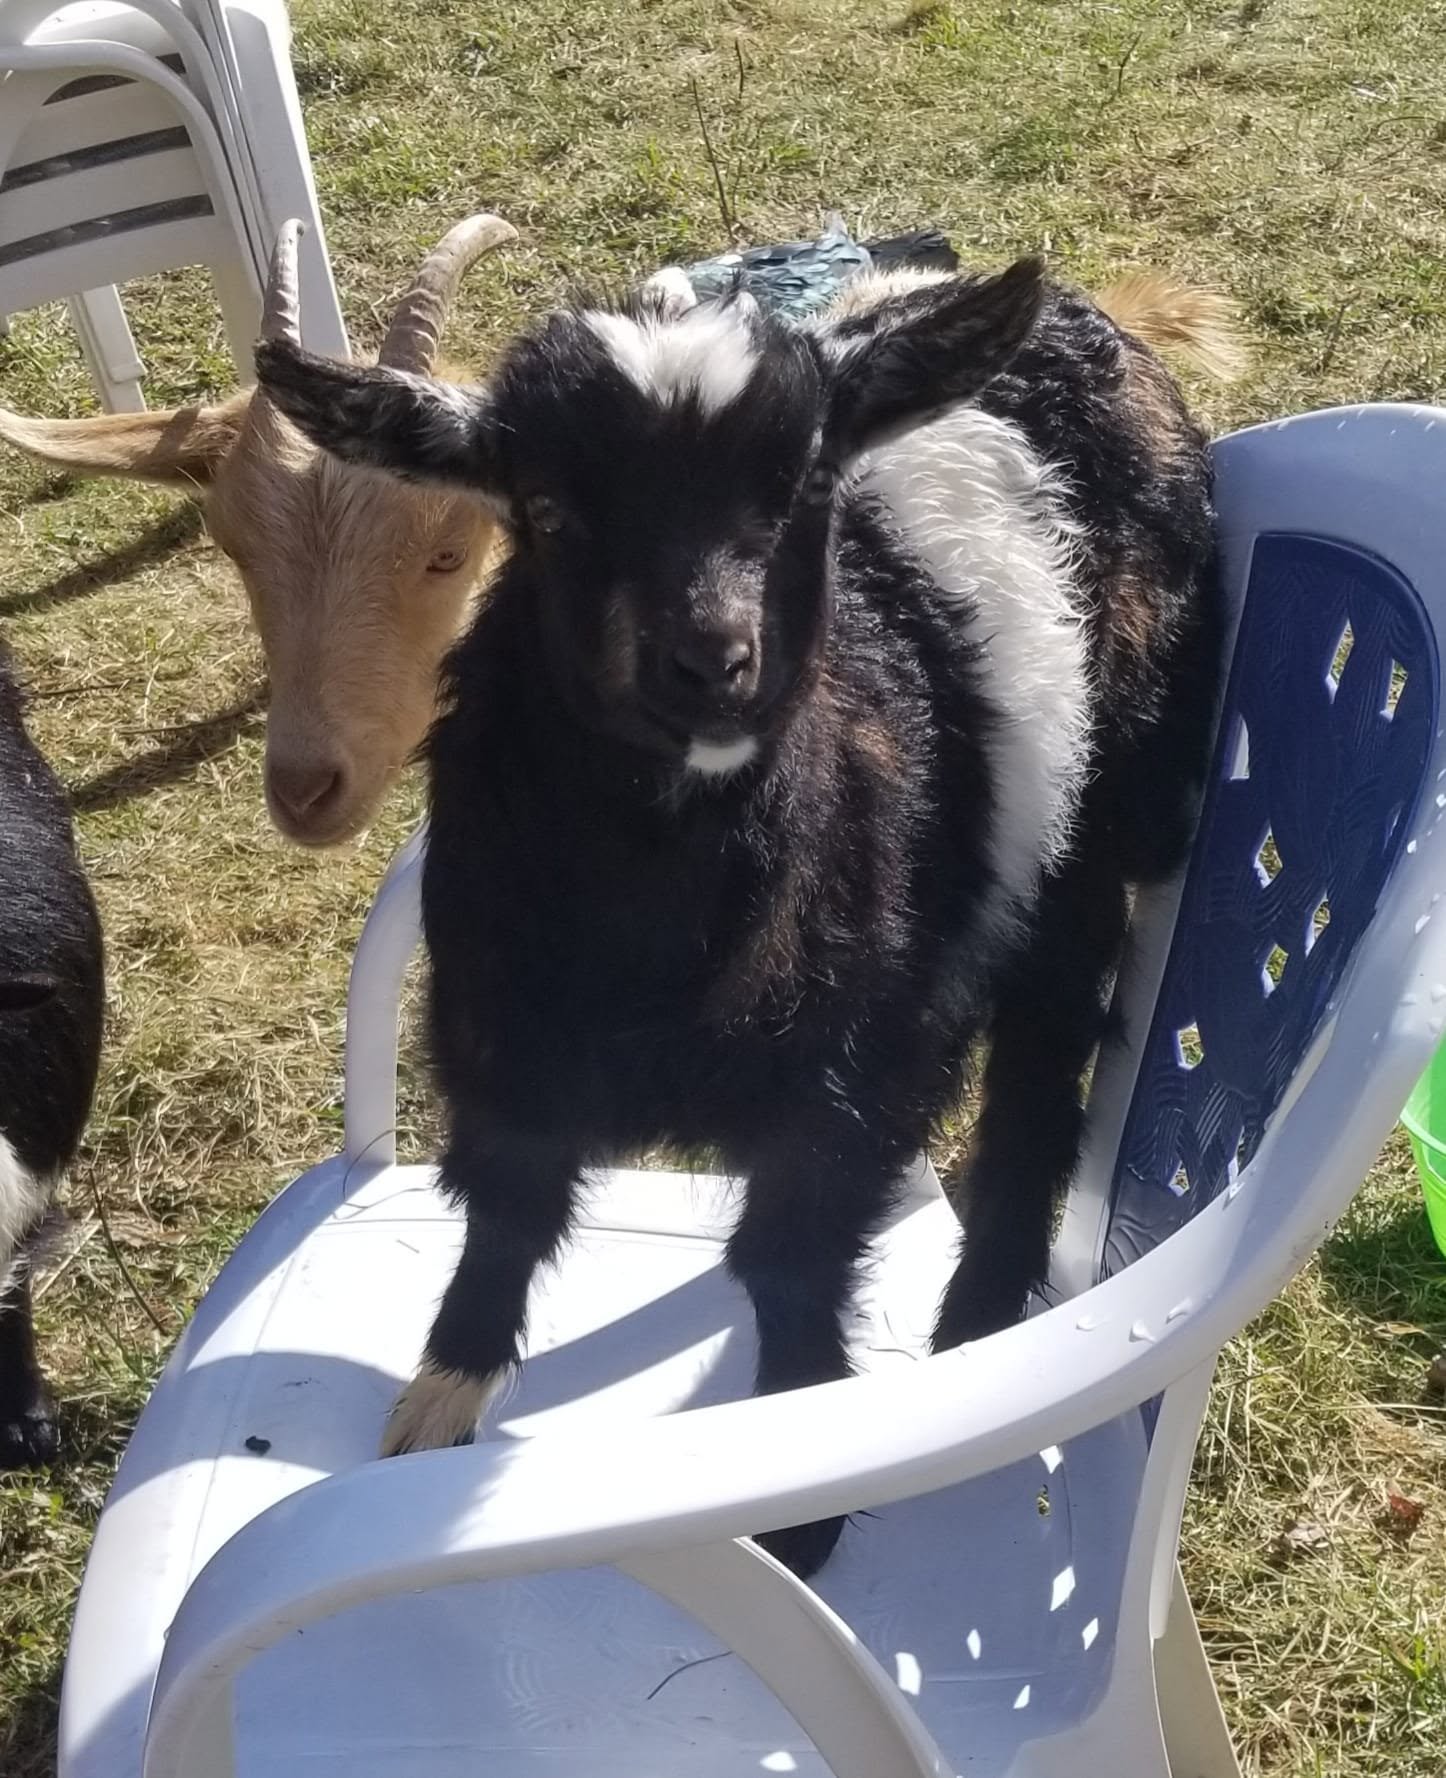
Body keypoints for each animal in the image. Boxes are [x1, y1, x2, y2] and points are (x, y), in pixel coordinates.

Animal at [256, 254, 1229, 1577]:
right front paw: (439, 1399)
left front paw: (804, 1490)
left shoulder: (855, 1073)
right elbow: (509, 1202)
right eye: (545, 506)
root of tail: (1091, 312)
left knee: (1047, 1032)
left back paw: (977, 1315)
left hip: (1102, 793)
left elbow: (787, 1260)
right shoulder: (497, 1028)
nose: (713, 659)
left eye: (809, 480)